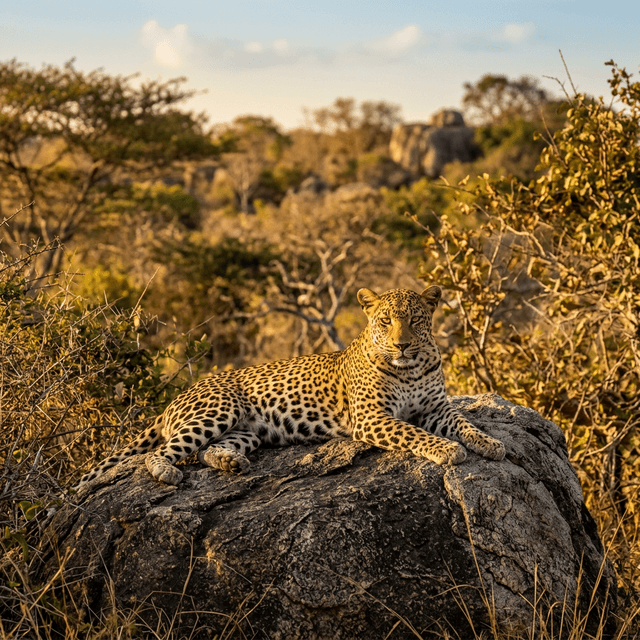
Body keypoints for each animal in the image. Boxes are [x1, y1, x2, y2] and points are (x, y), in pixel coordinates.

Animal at [78, 286, 505, 488]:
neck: (411, 367)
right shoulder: (372, 417)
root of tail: (178, 396)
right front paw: (447, 449)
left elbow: (464, 422)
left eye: (415, 320)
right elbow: (414, 433)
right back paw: (167, 472)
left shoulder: (436, 407)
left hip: (247, 432)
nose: (402, 344)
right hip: (218, 409)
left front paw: (489, 443)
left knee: (205, 451)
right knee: (161, 452)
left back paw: (232, 463)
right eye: (385, 321)